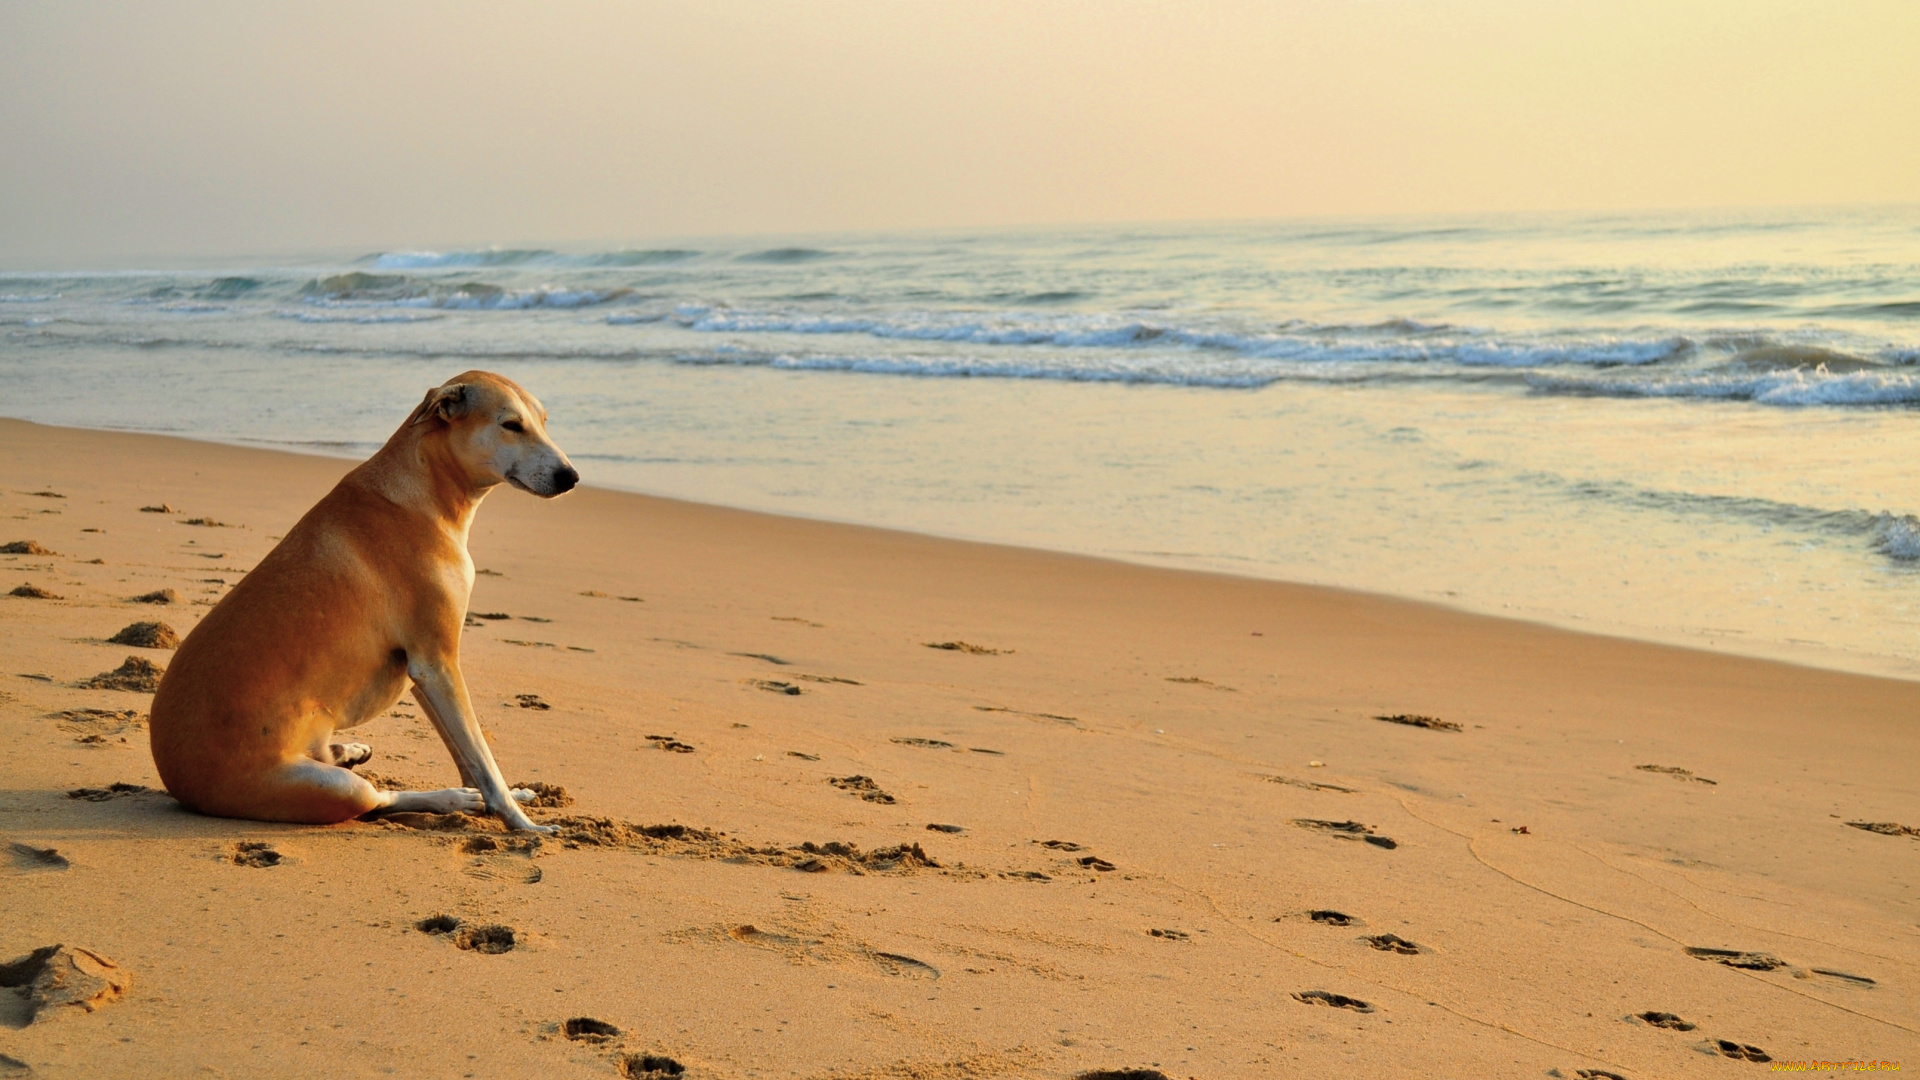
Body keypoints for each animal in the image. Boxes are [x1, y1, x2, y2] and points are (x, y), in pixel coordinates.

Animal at [149, 368, 576, 834]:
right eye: (510, 424)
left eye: (544, 422)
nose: (571, 477)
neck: (421, 491)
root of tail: (177, 780)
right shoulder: (437, 663)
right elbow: (483, 762)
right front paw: (520, 820)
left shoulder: (426, 674)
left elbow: (470, 757)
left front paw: (505, 798)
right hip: (328, 788)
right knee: (378, 800)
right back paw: (450, 797)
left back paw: (349, 752)